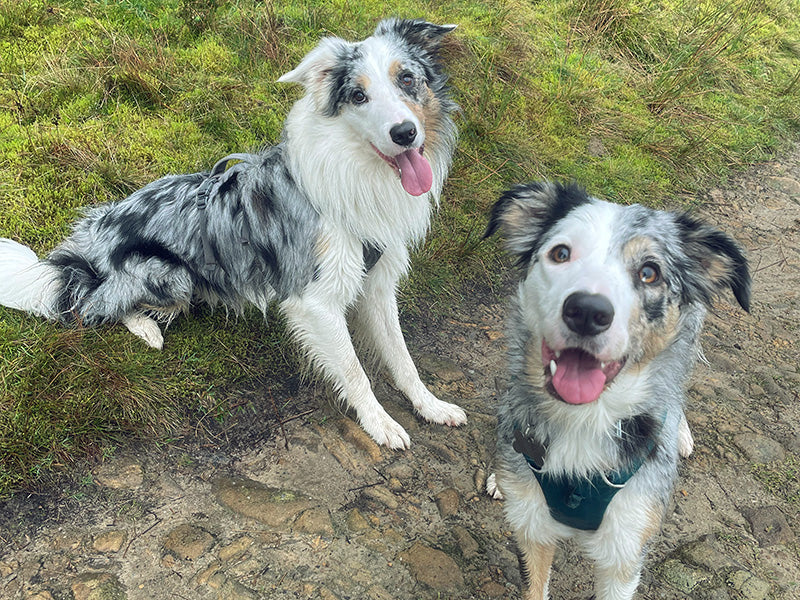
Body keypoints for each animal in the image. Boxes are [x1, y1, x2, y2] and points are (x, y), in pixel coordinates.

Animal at [0, 17, 466, 450]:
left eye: (407, 79)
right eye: (358, 96)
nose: (405, 133)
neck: (354, 173)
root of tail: (92, 235)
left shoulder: (377, 282)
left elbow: (402, 356)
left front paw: (430, 405)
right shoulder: (315, 300)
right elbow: (354, 371)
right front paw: (381, 424)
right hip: (170, 277)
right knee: (89, 306)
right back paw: (145, 328)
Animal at [484, 183, 752, 600]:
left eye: (649, 273)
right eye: (561, 253)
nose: (587, 311)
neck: (583, 419)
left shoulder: (627, 545)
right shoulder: (531, 527)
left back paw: (680, 433)